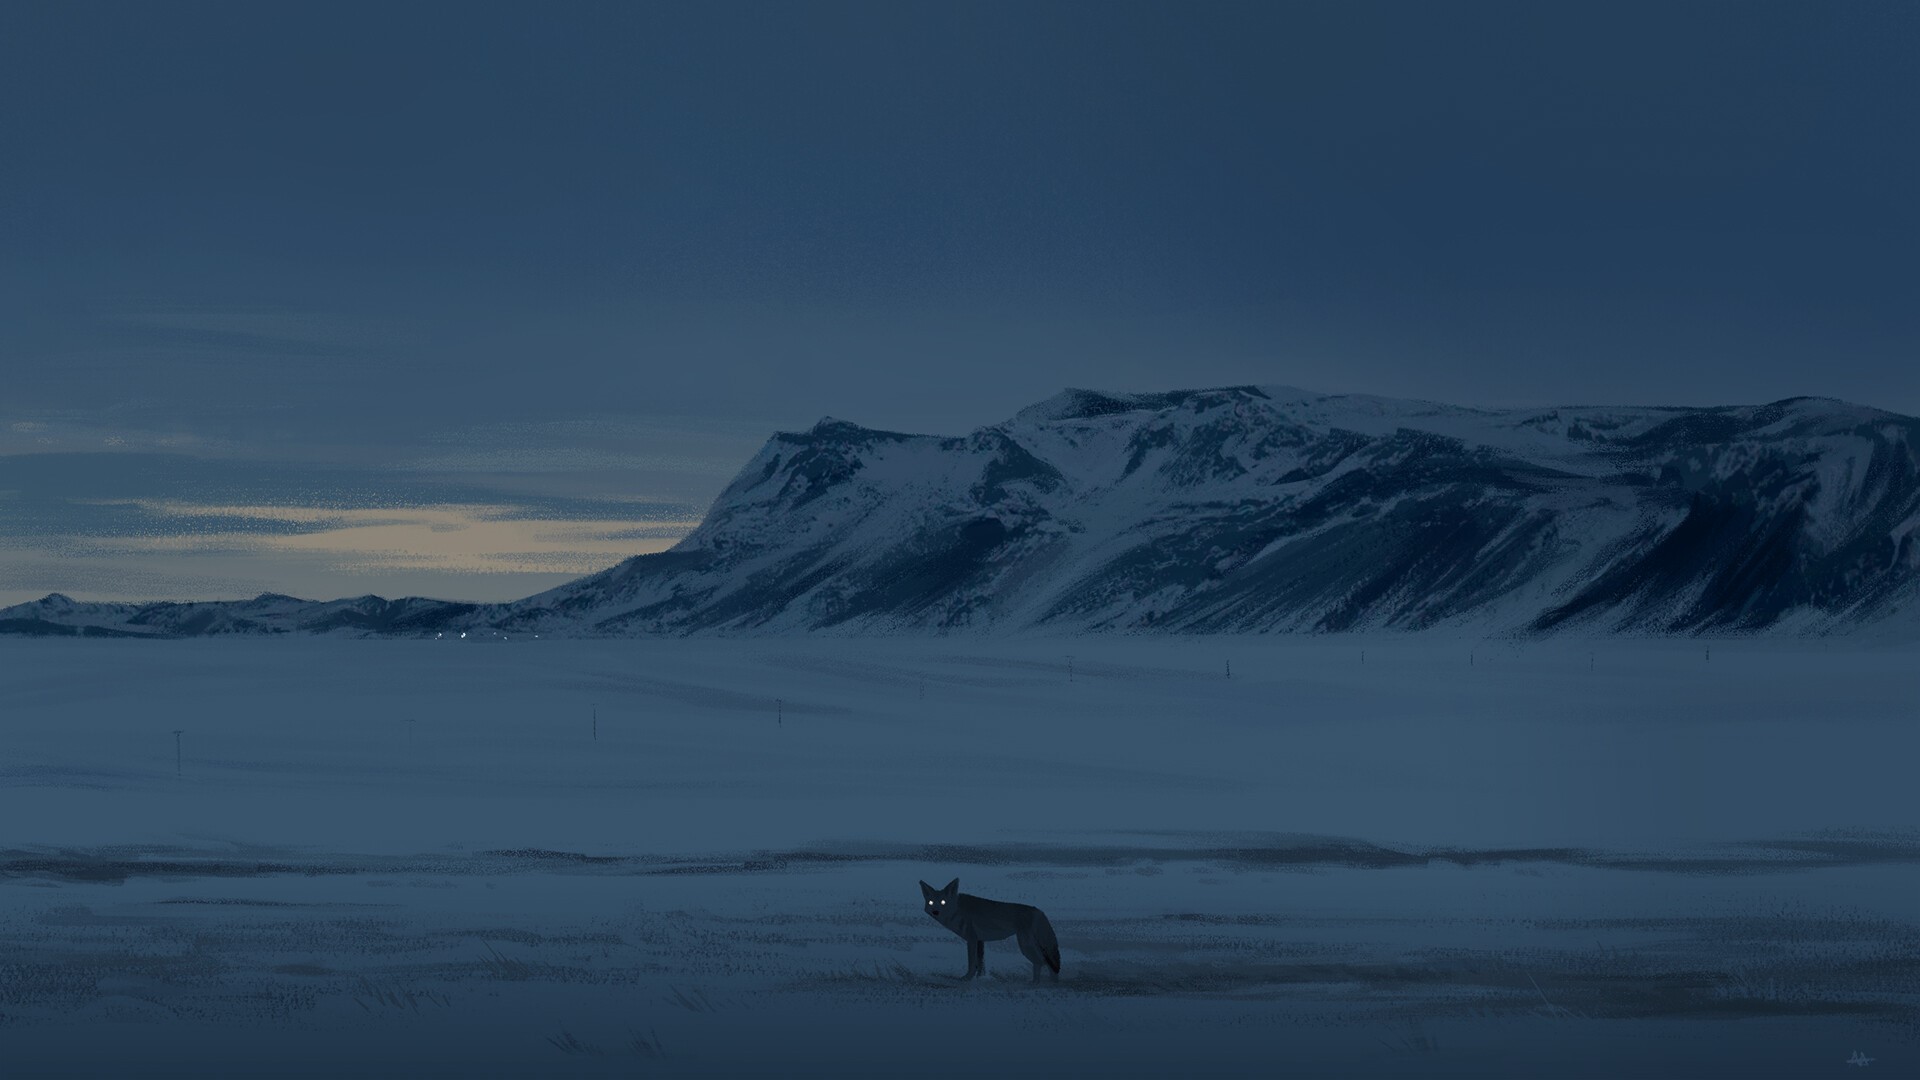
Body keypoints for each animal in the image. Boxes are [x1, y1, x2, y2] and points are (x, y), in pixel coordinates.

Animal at [920, 877, 1061, 982]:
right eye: (931, 902)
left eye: (943, 902)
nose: (935, 912)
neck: (957, 910)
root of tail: (1039, 911)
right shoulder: (980, 941)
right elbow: (980, 964)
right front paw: (980, 978)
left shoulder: (971, 940)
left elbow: (972, 963)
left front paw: (966, 979)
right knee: (1045, 964)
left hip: (1026, 946)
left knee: (1043, 963)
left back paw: (1038, 984)